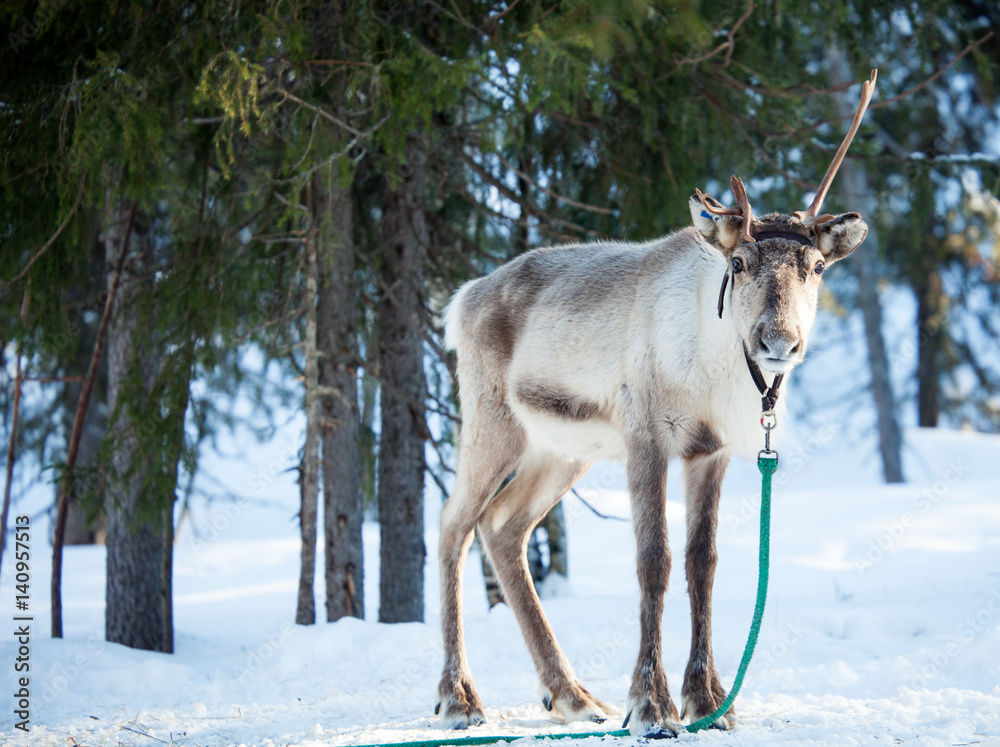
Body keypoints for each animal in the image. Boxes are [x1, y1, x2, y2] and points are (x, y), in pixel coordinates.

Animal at [436, 70, 877, 737]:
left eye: (819, 265)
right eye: (739, 261)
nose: (779, 341)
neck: (716, 372)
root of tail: (461, 299)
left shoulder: (709, 451)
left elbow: (703, 562)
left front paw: (710, 699)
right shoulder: (647, 437)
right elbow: (654, 560)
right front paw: (652, 706)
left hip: (563, 451)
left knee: (504, 528)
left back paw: (572, 695)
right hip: (493, 426)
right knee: (453, 526)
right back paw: (459, 698)